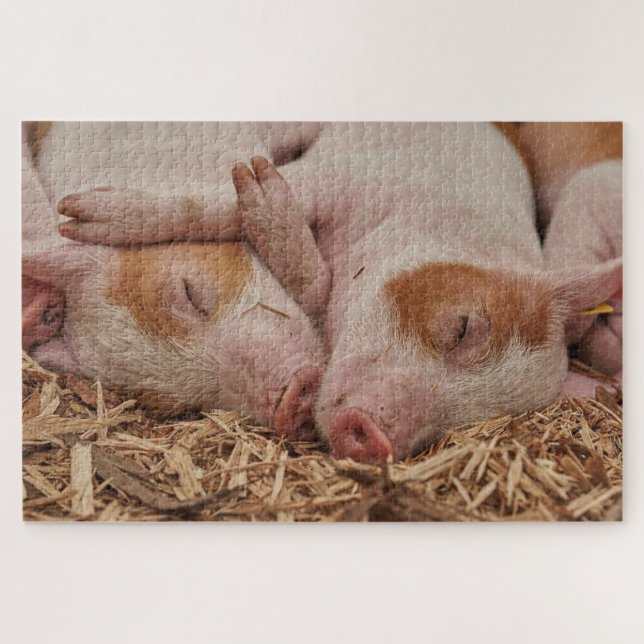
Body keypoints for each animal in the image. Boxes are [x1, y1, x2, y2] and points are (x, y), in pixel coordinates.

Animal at [54, 123, 622, 462]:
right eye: (463, 328)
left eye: (464, 423)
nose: (373, 437)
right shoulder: (344, 178)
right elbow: (217, 205)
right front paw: (79, 215)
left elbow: (312, 285)